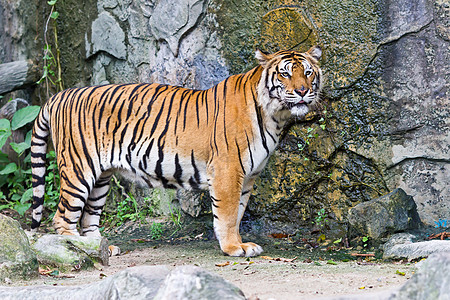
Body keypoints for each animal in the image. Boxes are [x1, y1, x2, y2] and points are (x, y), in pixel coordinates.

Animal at [29, 45, 322, 256]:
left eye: (308, 73)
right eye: (285, 73)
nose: (302, 91)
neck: (275, 116)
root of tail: (60, 95)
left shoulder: (248, 176)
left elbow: (238, 213)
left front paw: (240, 244)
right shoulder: (228, 170)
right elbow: (227, 215)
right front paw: (233, 248)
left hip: (101, 177)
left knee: (89, 217)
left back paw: (102, 248)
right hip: (79, 169)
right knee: (63, 217)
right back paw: (76, 249)